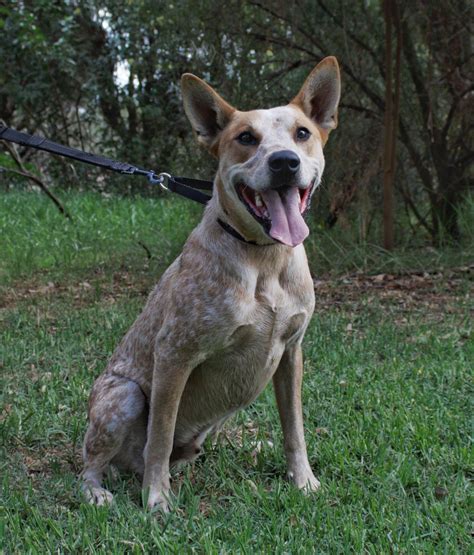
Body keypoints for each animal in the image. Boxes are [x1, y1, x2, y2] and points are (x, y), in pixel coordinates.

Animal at [82, 57, 340, 512]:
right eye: (246, 137)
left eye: (302, 133)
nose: (285, 162)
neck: (264, 259)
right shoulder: (174, 354)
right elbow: (160, 436)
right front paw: (157, 499)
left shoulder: (292, 352)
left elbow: (294, 428)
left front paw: (304, 481)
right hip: (123, 396)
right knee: (92, 462)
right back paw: (98, 489)